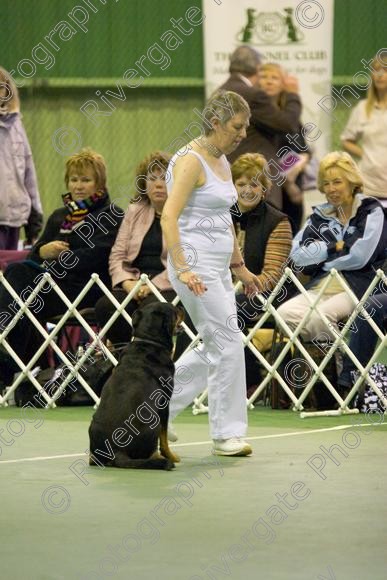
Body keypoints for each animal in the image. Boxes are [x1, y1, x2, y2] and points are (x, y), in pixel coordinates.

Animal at [89, 304, 183, 472]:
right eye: (174, 311)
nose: (181, 308)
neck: (148, 342)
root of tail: (117, 450)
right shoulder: (164, 402)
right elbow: (164, 438)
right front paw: (171, 456)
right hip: (153, 422)